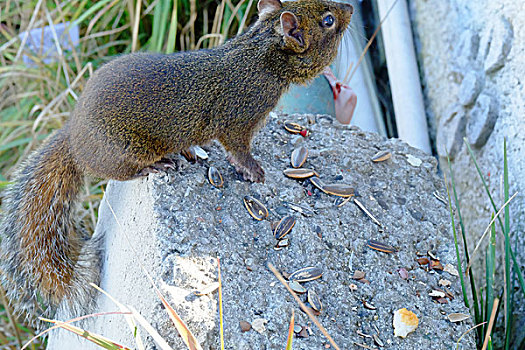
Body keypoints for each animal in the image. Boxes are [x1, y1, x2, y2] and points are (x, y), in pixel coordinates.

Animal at [0, 0, 352, 314]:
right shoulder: (238, 117)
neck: (259, 55)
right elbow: (238, 148)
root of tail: (74, 138)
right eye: (328, 21)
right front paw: (252, 170)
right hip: (126, 151)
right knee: (123, 172)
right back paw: (159, 164)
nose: (349, 8)